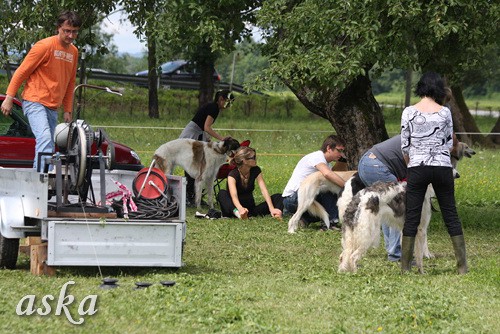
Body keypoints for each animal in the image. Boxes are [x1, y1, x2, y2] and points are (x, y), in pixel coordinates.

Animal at [338, 142, 474, 272]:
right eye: (447, 165)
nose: (458, 175)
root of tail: (359, 198)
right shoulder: (421, 228)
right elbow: (420, 253)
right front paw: (421, 270)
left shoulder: (406, 228)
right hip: (369, 234)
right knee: (352, 256)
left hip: (352, 234)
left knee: (343, 256)